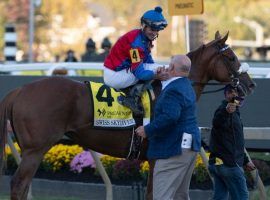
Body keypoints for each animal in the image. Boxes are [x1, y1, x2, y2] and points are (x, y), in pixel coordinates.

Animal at [0, 31, 255, 200]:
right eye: (231, 58)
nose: (250, 84)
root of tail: (19, 90)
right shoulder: (156, 158)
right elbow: (154, 193)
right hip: (35, 149)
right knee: (18, 185)